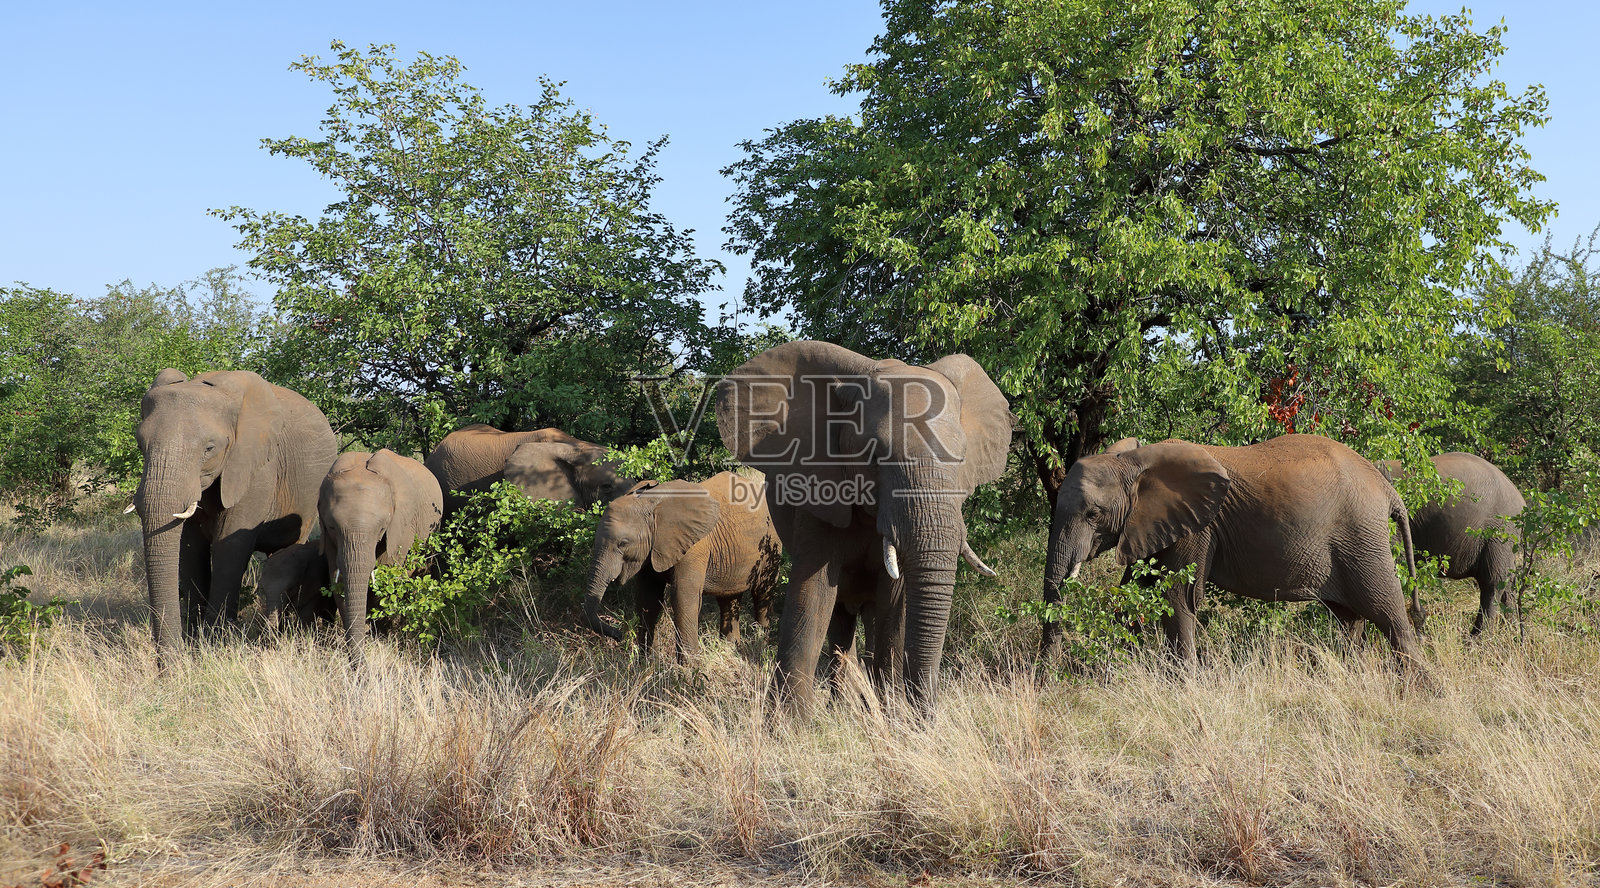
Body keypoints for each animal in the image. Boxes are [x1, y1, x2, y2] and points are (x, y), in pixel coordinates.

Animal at [134, 369, 338, 663]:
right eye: (140, 444)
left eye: (209, 448)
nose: (170, 664)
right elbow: (190, 547)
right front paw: (195, 639)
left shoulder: (256, 467)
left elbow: (229, 546)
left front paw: (213, 644)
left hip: (310, 497)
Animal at [319, 449, 445, 654]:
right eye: (332, 527)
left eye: (381, 529)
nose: (361, 663)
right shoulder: (329, 539)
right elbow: (338, 584)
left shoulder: (401, 526)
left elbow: (387, 583)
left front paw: (382, 640)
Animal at [582, 471, 782, 661]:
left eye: (623, 543)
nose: (619, 634)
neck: (651, 503)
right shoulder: (652, 550)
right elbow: (648, 599)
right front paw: (646, 664)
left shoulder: (693, 548)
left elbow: (683, 598)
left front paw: (688, 669)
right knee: (729, 598)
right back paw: (731, 648)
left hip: (771, 544)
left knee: (762, 592)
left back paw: (759, 645)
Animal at [715, 340, 1013, 714]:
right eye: (874, 456)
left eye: (961, 459)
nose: (926, 714)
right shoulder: (820, 490)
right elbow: (812, 594)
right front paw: (787, 722)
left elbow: (894, 604)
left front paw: (896, 717)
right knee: (839, 619)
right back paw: (844, 706)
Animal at [1042, 434, 1423, 669]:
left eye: (1093, 515)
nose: (1044, 681)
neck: (1134, 462)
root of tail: (1387, 488)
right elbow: (1135, 591)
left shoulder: (1197, 526)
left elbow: (1178, 596)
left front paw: (1184, 683)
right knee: (1350, 619)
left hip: (1362, 538)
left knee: (1388, 613)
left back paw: (1417, 690)